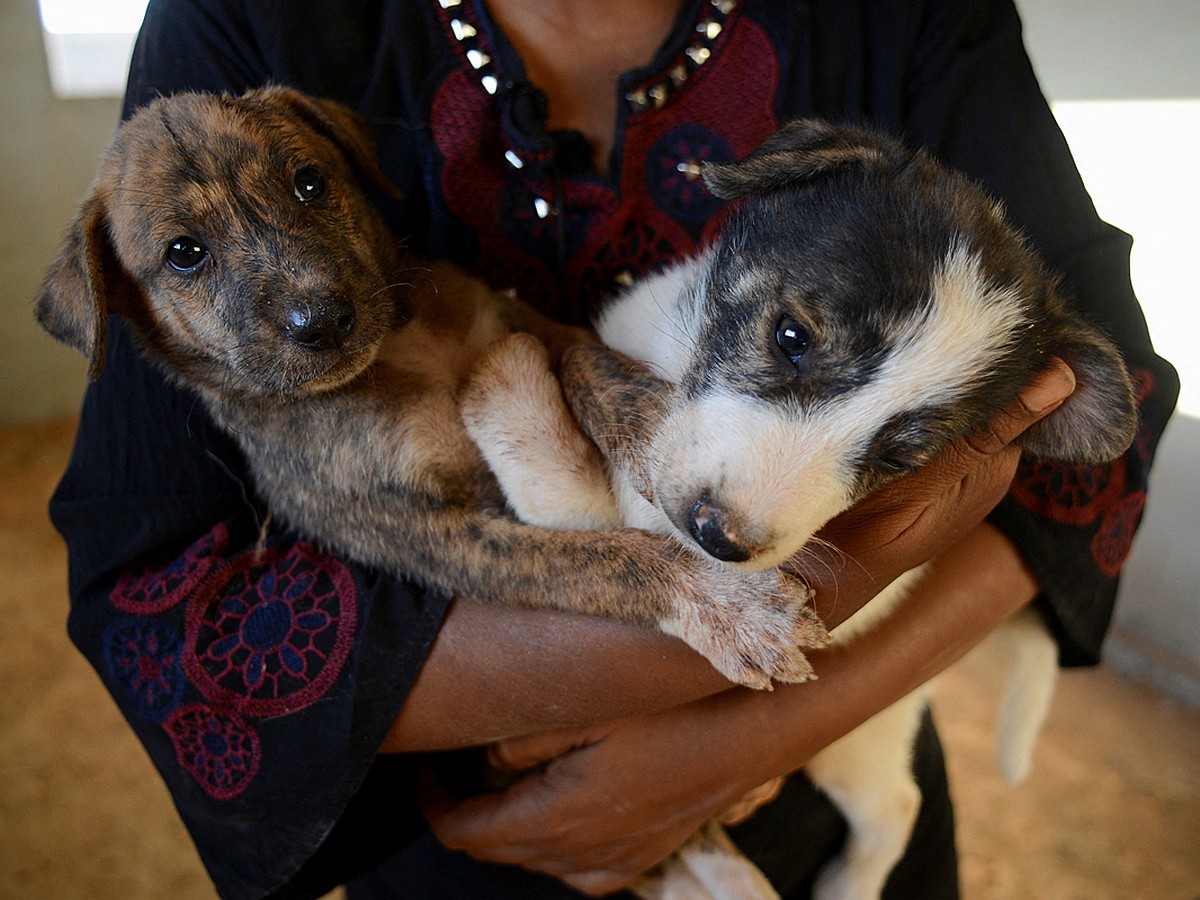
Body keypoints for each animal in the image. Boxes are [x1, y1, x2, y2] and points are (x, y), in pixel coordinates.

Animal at [35, 86, 825, 691]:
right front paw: (727, 606)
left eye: (309, 182)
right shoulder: (417, 531)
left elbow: (593, 369)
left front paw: (656, 434)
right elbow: (587, 561)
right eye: (184, 254)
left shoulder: (527, 322)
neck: (400, 354)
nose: (322, 320)